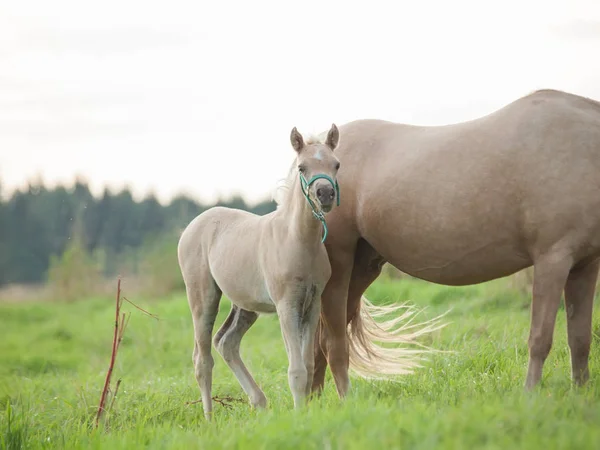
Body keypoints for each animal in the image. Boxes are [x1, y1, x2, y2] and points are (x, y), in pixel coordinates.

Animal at [176, 124, 342, 418]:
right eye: (302, 167)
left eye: (336, 164)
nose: (325, 195)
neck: (298, 239)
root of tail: (191, 227)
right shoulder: (286, 305)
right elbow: (296, 369)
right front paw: (299, 416)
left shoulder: (312, 304)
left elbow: (309, 366)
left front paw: (306, 413)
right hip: (203, 298)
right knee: (202, 359)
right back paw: (209, 418)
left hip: (245, 305)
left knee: (226, 342)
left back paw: (260, 402)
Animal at [314, 89, 600, 398]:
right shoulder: (553, 259)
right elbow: (540, 338)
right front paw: (530, 398)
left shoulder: (584, 266)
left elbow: (580, 339)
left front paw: (580, 395)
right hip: (339, 267)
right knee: (332, 342)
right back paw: (342, 400)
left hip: (362, 268)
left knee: (318, 341)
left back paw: (311, 402)